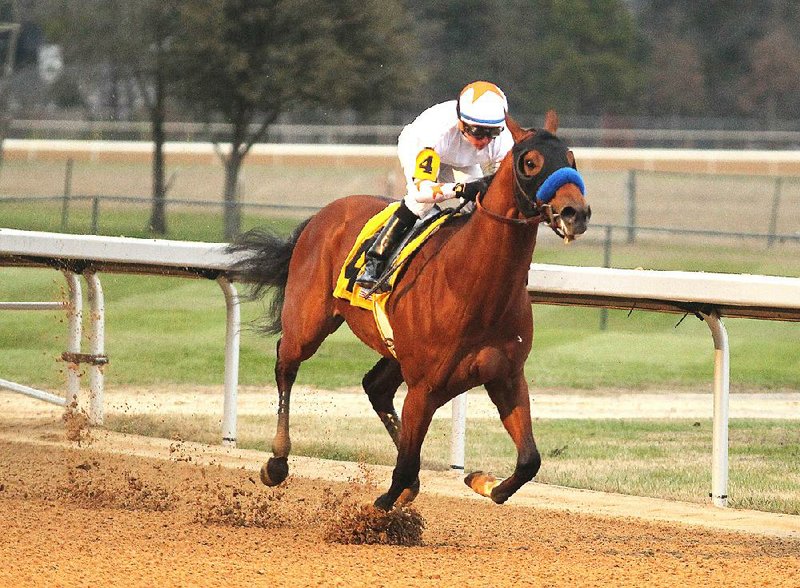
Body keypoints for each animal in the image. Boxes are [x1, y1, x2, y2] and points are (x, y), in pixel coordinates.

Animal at [228, 110, 592, 510]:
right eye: (531, 163)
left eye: (571, 158)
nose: (576, 213)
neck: (470, 283)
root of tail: (324, 214)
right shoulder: (424, 387)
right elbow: (402, 470)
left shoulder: (506, 376)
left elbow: (528, 461)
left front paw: (481, 480)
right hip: (308, 323)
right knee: (286, 363)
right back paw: (277, 461)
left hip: (394, 350)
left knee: (375, 387)